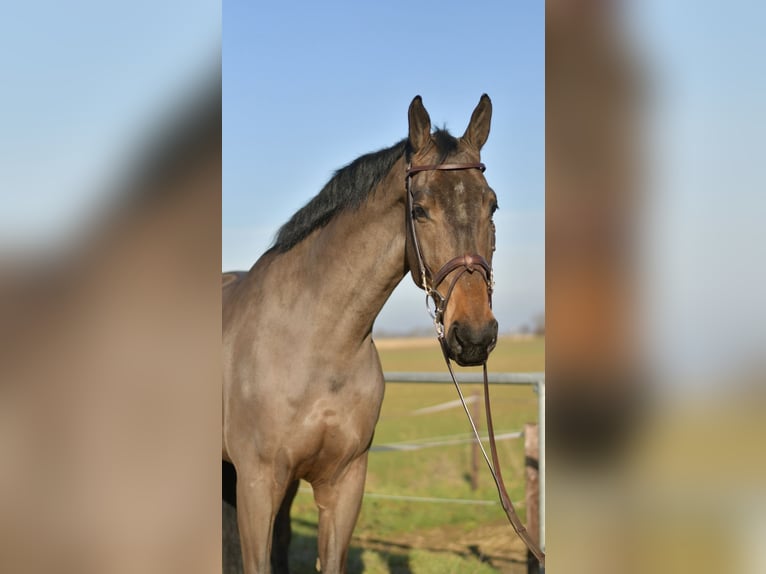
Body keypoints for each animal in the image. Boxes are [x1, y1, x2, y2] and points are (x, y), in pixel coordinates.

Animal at [222, 94, 499, 574]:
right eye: (419, 209)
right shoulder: (256, 483)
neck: (314, 344)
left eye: (492, 206)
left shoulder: (344, 481)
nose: (474, 335)